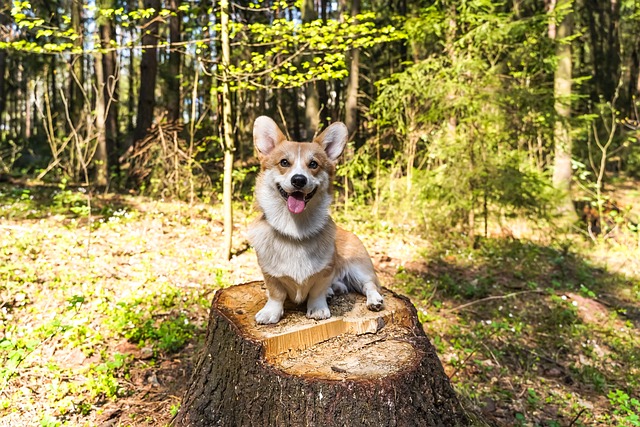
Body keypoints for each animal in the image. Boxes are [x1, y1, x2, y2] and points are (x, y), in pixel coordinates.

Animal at [248, 116, 382, 324]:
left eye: (313, 164)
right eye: (284, 162)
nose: (298, 180)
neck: (295, 230)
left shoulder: (325, 271)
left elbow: (317, 292)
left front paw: (318, 309)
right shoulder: (269, 273)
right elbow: (276, 294)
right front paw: (271, 312)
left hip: (359, 266)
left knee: (369, 284)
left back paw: (374, 300)